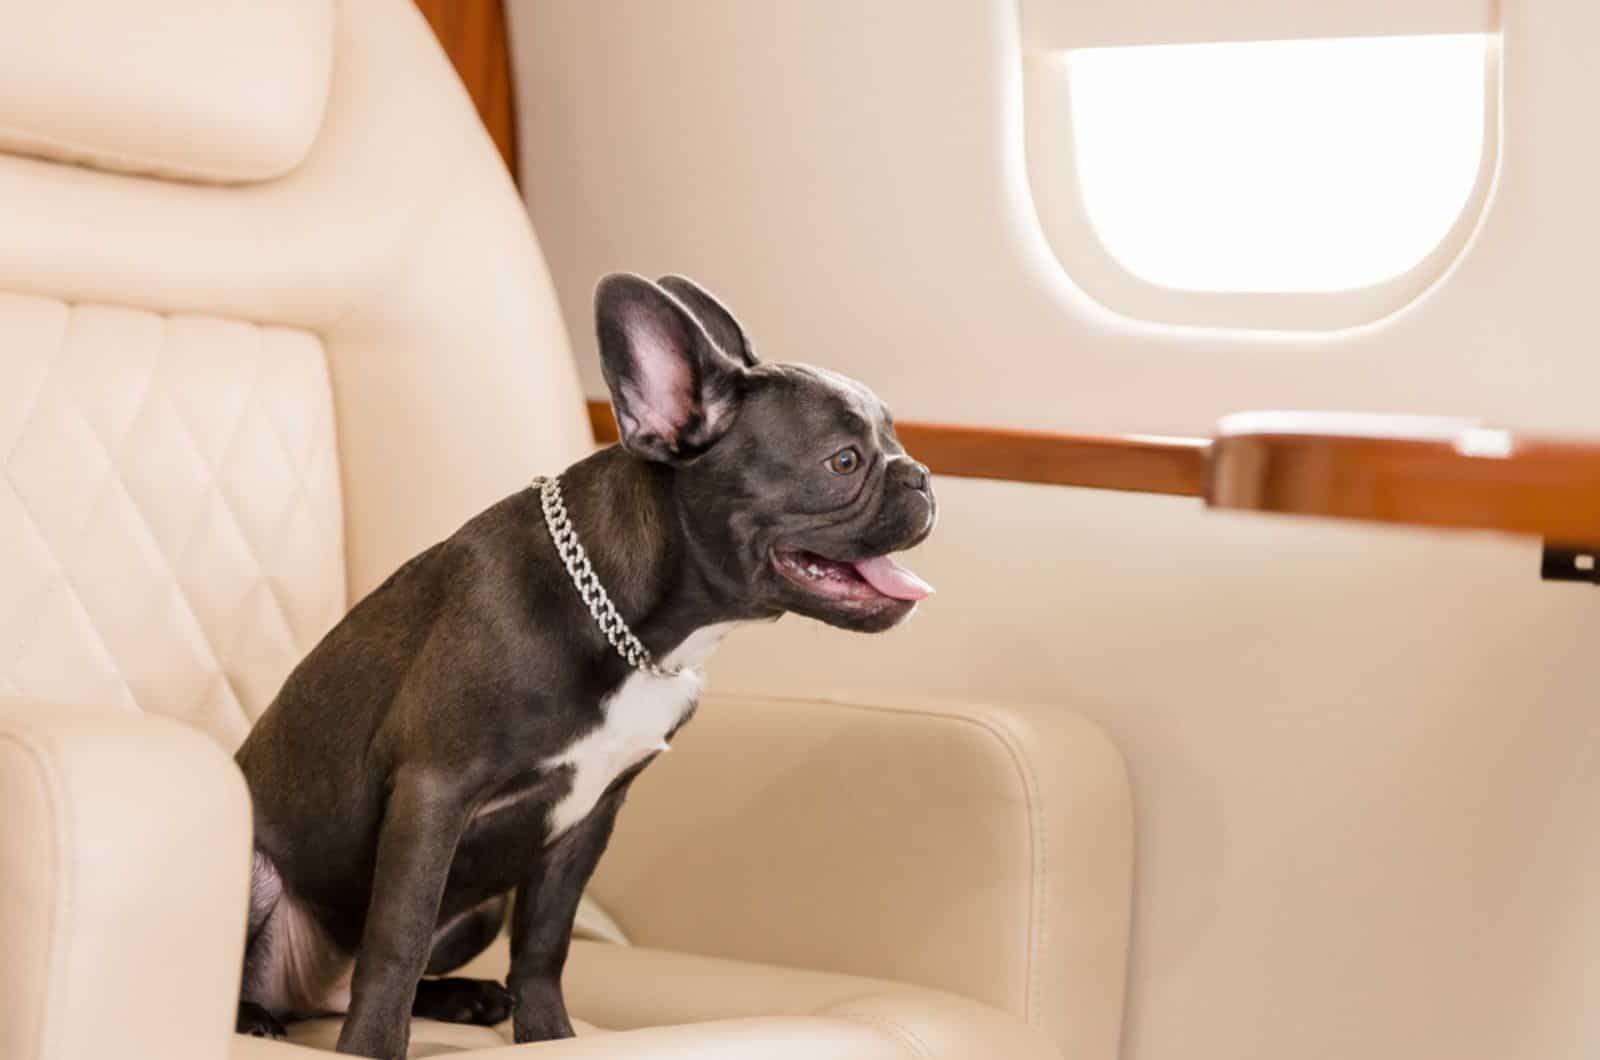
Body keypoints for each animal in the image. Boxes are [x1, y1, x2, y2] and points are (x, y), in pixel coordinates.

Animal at [233, 273, 934, 1056]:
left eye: (894, 442)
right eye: (844, 460)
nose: (922, 476)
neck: (635, 632)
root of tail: (304, 993)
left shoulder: (589, 816)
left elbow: (545, 943)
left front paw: (550, 1036)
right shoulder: (433, 792)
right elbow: (397, 941)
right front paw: (372, 1047)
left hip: (480, 911)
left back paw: (465, 997)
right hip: (254, 866)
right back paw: (255, 1016)